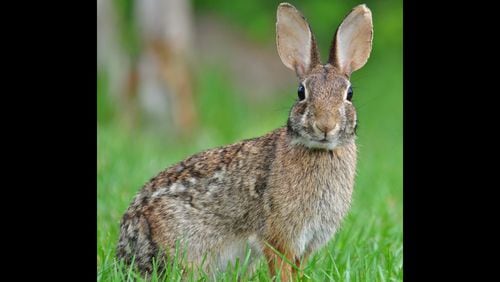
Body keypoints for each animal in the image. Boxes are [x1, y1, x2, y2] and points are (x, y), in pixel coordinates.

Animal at [116, 1, 372, 280]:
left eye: (349, 93)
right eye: (301, 92)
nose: (326, 125)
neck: (320, 150)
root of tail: (129, 242)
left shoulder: (305, 245)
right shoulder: (278, 237)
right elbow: (281, 269)